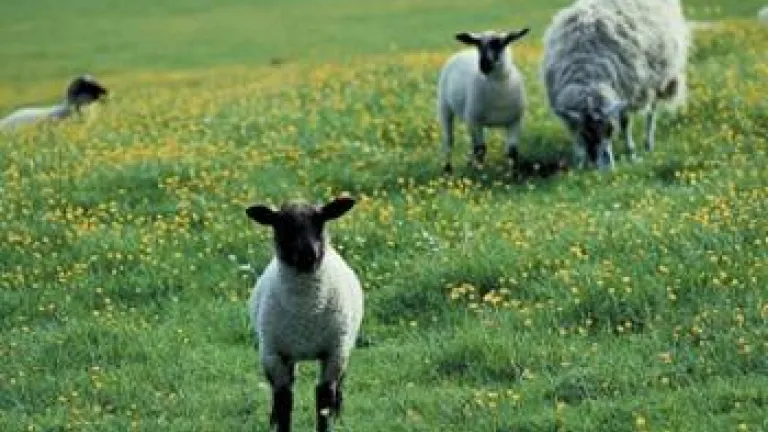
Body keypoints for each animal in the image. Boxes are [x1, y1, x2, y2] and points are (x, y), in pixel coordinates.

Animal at [245, 196, 364, 432]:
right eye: (281, 225)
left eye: (321, 221)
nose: (308, 254)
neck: (305, 311)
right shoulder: (273, 354)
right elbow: (284, 399)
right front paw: (279, 423)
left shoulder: (335, 352)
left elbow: (324, 398)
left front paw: (329, 421)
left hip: (346, 344)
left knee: (339, 385)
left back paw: (339, 413)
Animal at [437, 28, 530, 173]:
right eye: (478, 45)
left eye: (499, 43)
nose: (484, 65)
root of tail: (464, 51)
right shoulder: (476, 121)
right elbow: (481, 149)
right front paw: (480, 172)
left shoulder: (514, 121)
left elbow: (512, 151)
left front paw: (514, 174)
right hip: (445, 107)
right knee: (449, 141)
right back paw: (448, 169)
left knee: (471, 142)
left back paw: (469, 163)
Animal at [541, 0, 690, 169]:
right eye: (584, 133)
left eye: (610, 130)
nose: (605, 169)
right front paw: (579, 161)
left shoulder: (627, 91)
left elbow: (625, 124)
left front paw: (631, 153)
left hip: (657, 79)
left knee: (651, 111)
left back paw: (648, 144)